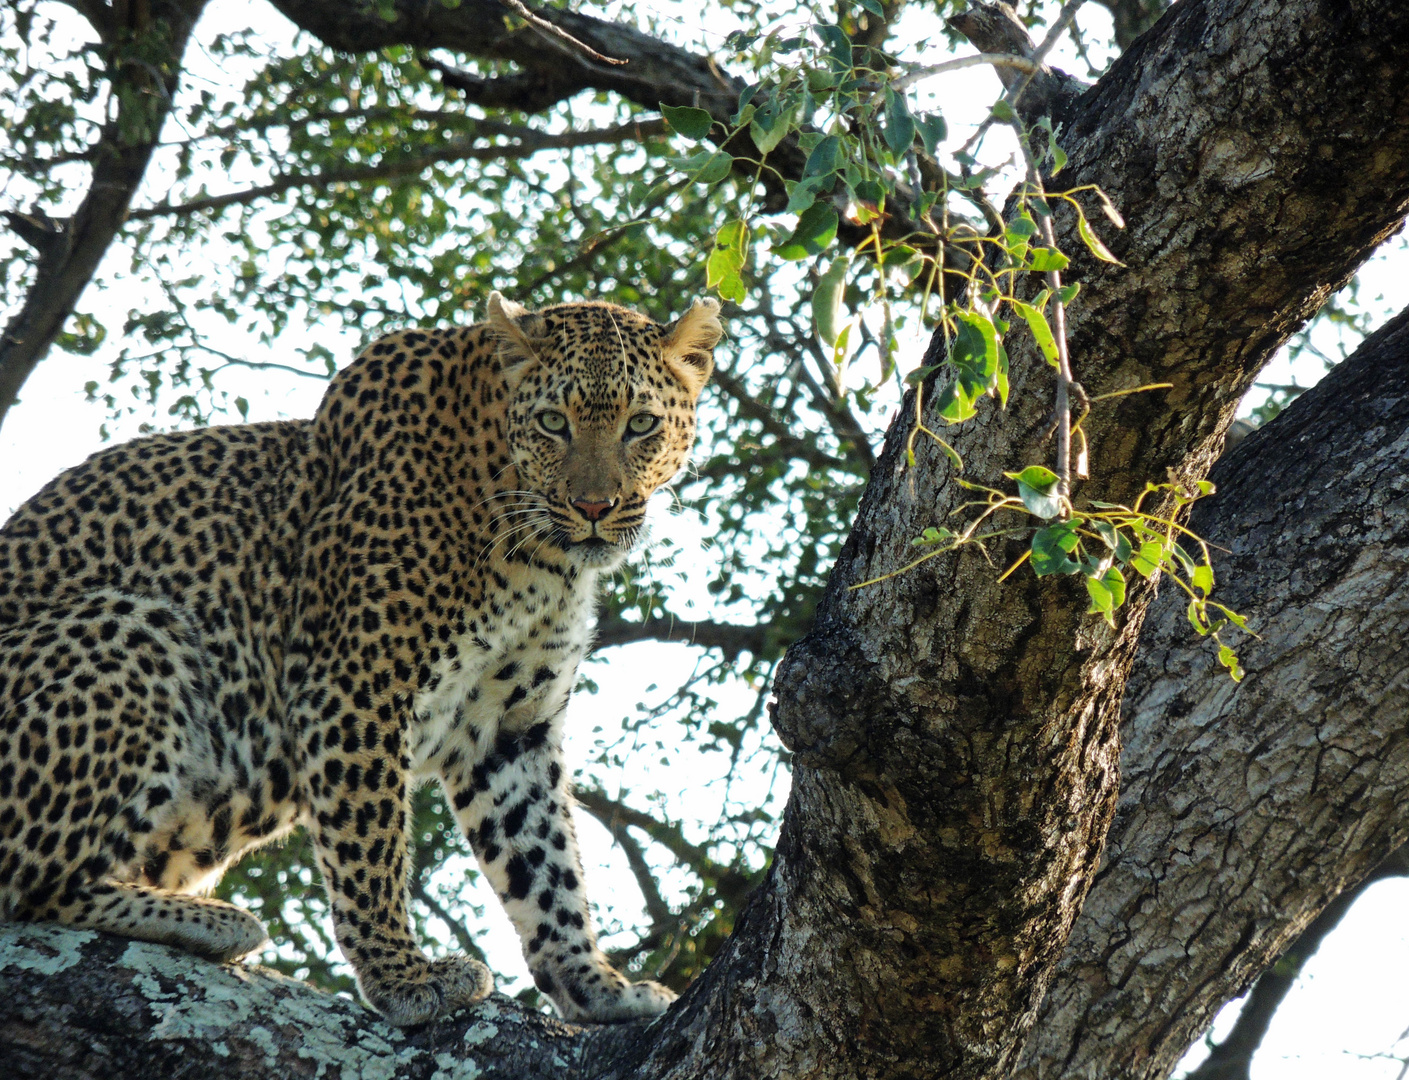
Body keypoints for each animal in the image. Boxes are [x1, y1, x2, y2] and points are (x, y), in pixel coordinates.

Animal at [0, 291, 727, 1025]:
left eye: (641, 424)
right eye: (554, 421)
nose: (594, 507)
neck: (538, 556)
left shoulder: (510, 727)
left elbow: (545, 863)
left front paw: (595, 985)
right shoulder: (353, 685)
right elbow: (368, 842)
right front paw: (404, 978)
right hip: (135, 626)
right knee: (31, 885)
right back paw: (211, 921)